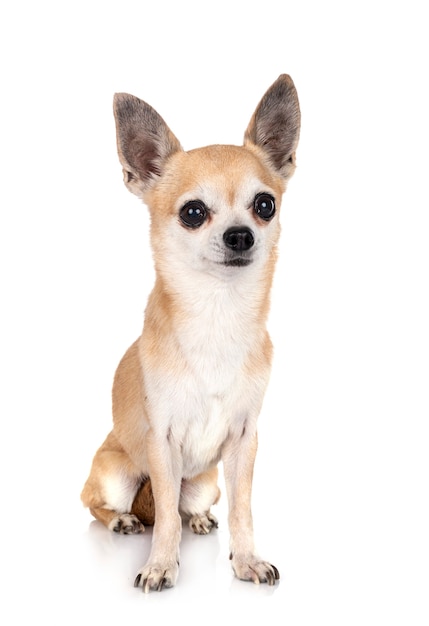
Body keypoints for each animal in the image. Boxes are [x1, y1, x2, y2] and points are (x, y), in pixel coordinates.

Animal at [81, 73, 300, 588]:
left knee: (184, 508)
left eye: (265, 205)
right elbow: (162, 518)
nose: (240, 234)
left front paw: (246, 560)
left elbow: (242, 509)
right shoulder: (162, 442)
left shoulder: (244, 441)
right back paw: (123, 520)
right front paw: (161, 564)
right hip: (117, 474)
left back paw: (198, 519)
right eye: (193, 213)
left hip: (203, 484)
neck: (217, 313)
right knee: (106, 504)